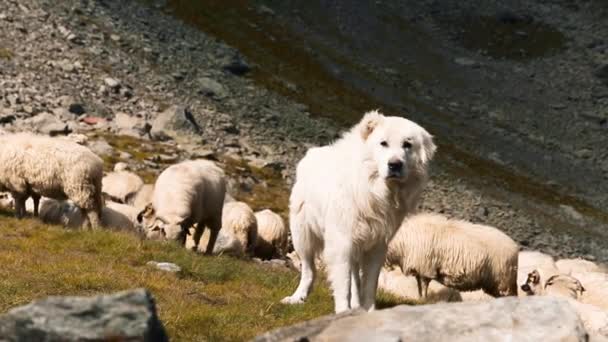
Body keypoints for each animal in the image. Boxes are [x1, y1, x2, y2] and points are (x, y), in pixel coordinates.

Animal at [282, 109, 434, 312]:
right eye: (383, 143)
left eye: (407, 145)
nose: (395, 164)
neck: (373, 190)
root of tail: (312, 152)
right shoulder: (342, 242)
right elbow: (343, 283)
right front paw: (343, 312)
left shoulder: (377, 245)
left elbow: (369, 285)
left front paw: (368, 311)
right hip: (302, 235)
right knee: (309, 270)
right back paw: (297, 298)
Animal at [388, 214, 520, 300]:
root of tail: (514, 247)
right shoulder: (419, 269)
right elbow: (419, 286)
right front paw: (419, 299)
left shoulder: (426, 267)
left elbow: (424, 286)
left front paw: (423, 300)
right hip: (493, 283)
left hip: (503, 280)